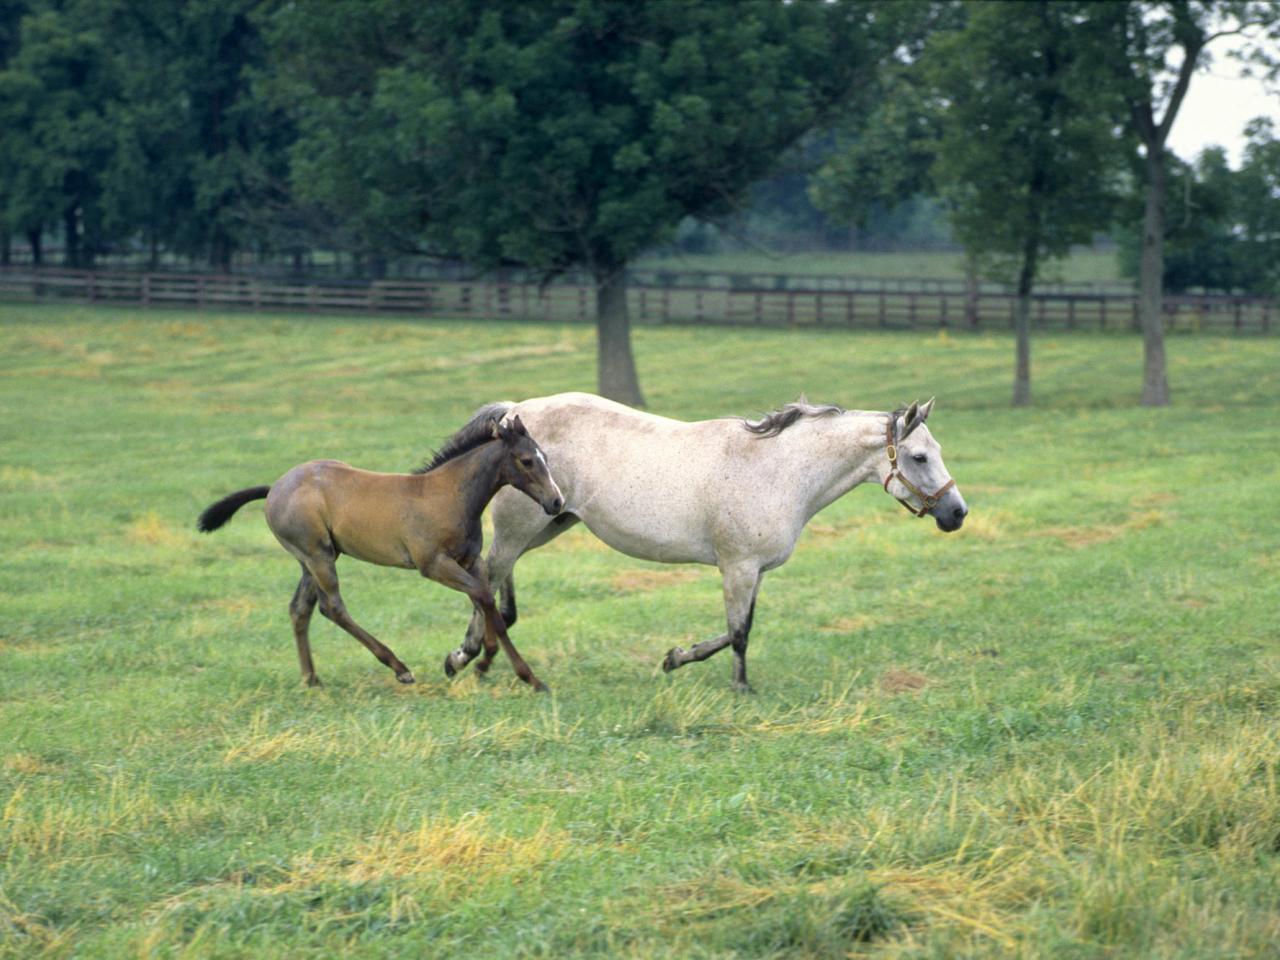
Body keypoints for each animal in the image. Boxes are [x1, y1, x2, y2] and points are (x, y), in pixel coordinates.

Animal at [197, 417, 563, 696]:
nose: (556, 502)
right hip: (317, 554)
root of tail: (274, 487)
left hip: (311, 558)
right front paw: (519, 673)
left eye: (545, 456)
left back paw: (312, 679)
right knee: (332, 607)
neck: (449, 496)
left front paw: (477, 658)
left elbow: (488, 602)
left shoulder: (470, 562)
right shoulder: (433, 565)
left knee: (300, 609)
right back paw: (398, 667)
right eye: (527, 461)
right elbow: (485, 597)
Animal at [440, 391, 962, 691]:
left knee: (498, 583)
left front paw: (675, 659)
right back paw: (464, 657)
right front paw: (739, 688)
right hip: (523, 525)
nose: (957, 513)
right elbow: (738, 633)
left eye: (935, 451)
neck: (778, 470)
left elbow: (739, 628)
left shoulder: (753, 572)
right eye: (918, 457)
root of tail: (514, 415)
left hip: (552, 520)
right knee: (488, 578)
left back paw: (482, 659)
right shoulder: (738, 567)